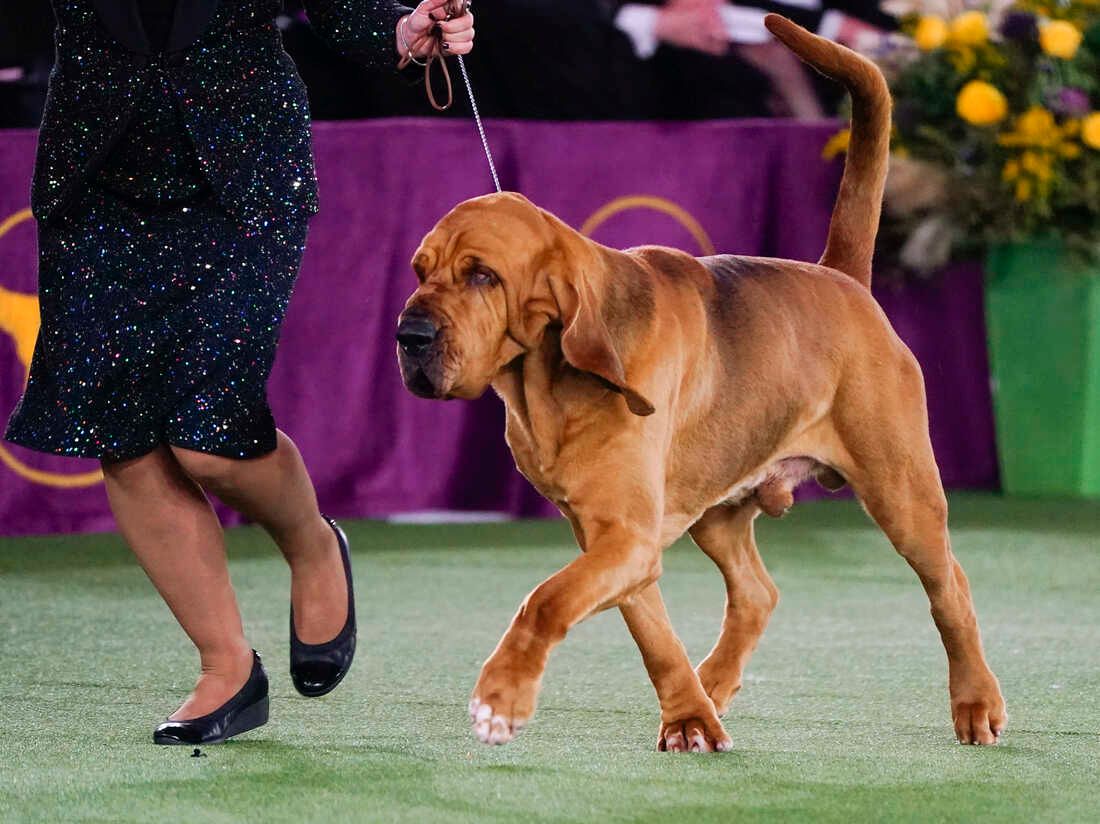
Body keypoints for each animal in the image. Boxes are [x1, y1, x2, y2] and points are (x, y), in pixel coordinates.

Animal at [393, 16, 1007, 748]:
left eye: (483, 276)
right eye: (419, 270)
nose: (408, 336)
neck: (550, 383)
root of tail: (842, 278)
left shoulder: (625, 536)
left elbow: (542, 601)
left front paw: (500, 697)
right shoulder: (612, 539)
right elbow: (651, 631)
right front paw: (687, 715)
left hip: (902, 492)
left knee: (951, 589)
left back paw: (976, 702)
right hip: (719, 506)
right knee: (757, 594)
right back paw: (711, 687)